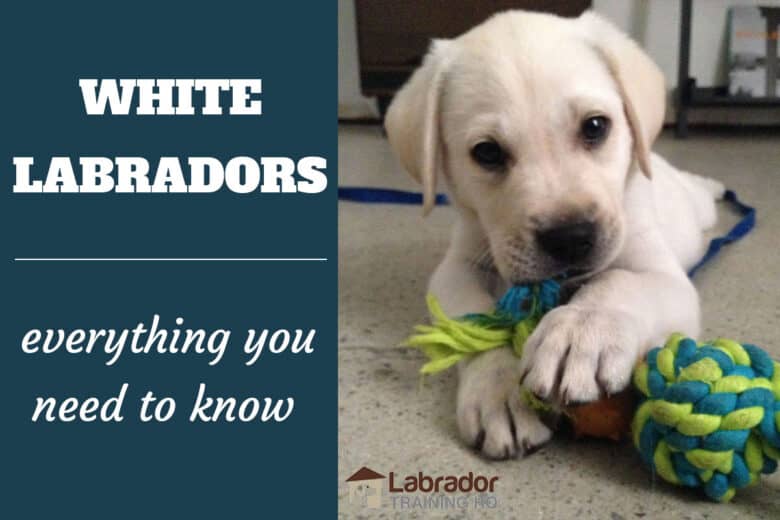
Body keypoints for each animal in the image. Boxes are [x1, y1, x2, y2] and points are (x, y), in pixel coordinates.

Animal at [386, 10, 724, 460]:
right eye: (486, 152)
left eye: (596, 126)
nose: (570, 237)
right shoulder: (458, 266)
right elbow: (475, 319)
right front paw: (497, 389)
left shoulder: (661, 274)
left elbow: (618, 282)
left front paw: (581, 331)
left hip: (693, 206)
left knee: (700, 192)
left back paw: (714, 187)